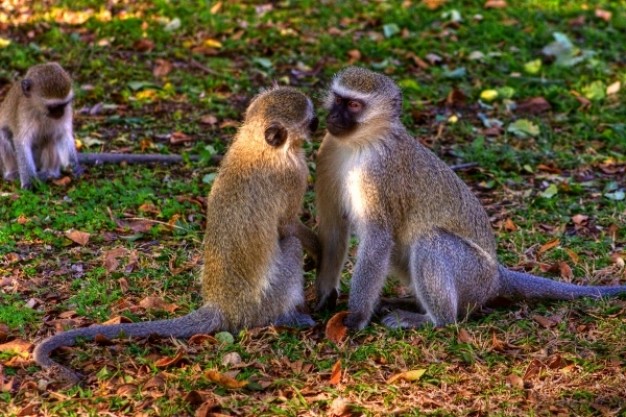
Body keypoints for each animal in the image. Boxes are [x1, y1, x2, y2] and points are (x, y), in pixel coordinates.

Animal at [33, 86, 320, 382]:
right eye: (311, 120)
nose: (320, 123)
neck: (258, 144)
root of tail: (222, 305)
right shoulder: (294, 174)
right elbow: (287, 226)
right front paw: (319, 250)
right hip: (261, 305)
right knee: (291, 245)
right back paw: (286, 316)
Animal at [314, 66, 624, 332]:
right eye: (338, 99)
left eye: (354, 106)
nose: (333, 117)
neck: (361, 143)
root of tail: (497, 277)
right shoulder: (328, 150)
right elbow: (333, 226)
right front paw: (324, 295)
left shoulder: (377, 173)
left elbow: (377, 238)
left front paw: (355, 318)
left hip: (472, 276)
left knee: (431, 241)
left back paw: (434, 319)